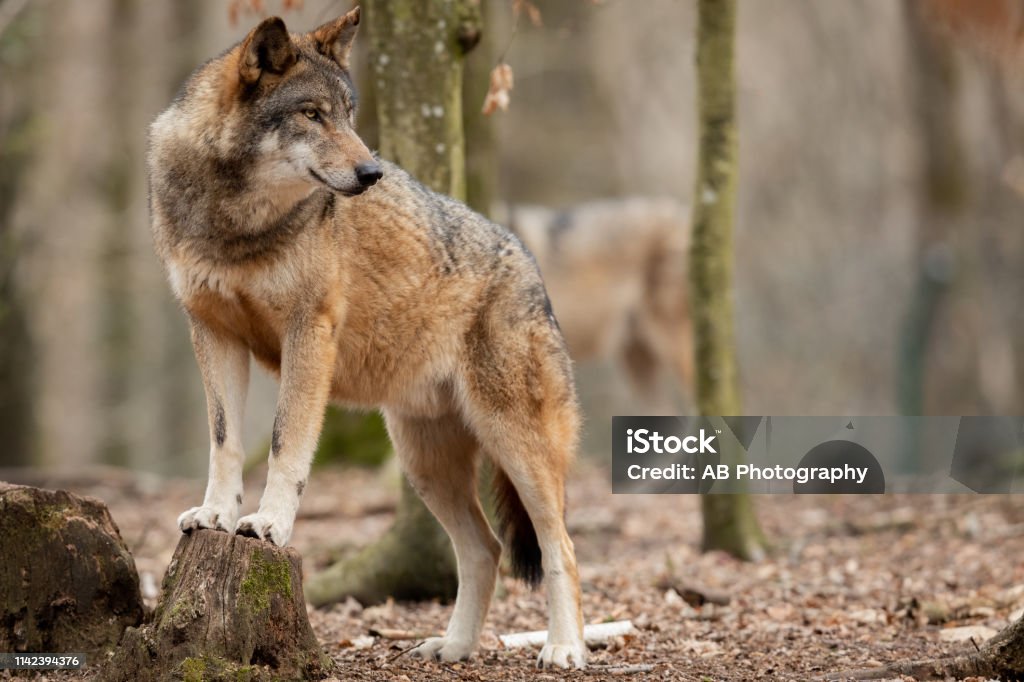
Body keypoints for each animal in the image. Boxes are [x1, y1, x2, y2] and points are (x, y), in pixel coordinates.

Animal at [148, 8, 586, 669]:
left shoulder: (309, 331)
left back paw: (564, 649)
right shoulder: (211, 331)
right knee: (484, 550)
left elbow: (285, 443)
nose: (372, 172)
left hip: (516, 446)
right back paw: (454, 647)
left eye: (349, 115)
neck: (237, 222)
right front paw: (218, 514)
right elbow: (225, 442)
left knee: (561, 546)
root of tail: (530, 263)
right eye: (312, 114)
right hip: (423, 463)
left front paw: (269, 524)